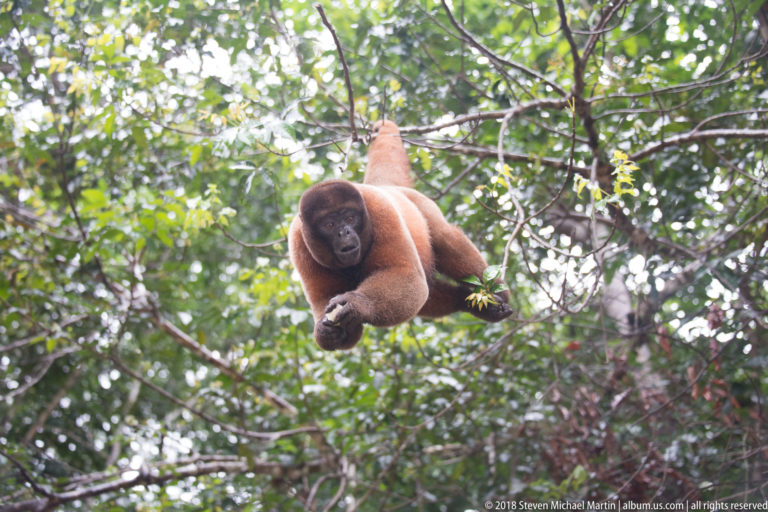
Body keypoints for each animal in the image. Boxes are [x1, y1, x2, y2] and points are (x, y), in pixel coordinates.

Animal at [288, 120, 512, 350]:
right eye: (330, 224)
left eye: (350, 218)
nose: (345, 232)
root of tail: (385, 187)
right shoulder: (297, 241)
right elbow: (324, 299)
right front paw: (325, 333)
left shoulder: (381, 210)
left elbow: (407, 275)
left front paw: (358, 304)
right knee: (428, 290)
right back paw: (467, 301)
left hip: (421, 203)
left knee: (444, 237)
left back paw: (496, 294)